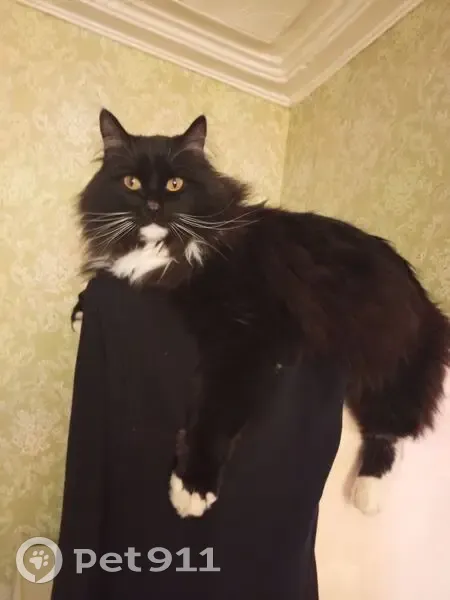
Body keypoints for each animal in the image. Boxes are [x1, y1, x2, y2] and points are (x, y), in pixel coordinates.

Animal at [75, 108, 449, 518]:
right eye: (131, 182)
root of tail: (424, 299)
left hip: (390, 355)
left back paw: (367, 495)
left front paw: (193, 488)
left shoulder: (251, 334)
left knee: (393, 426)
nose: (153, 206)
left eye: (175, 184)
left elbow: (216, 413)